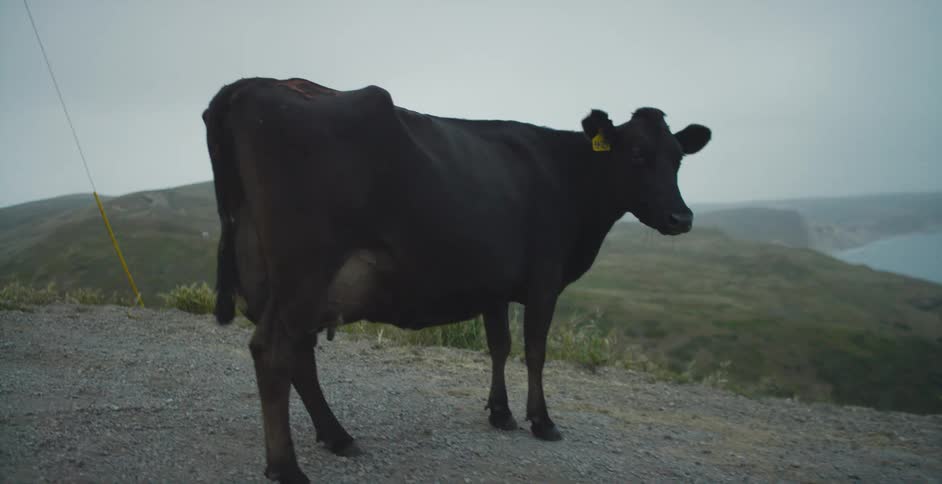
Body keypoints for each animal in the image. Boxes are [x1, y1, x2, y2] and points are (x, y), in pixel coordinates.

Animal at [202, 77, 711, 483]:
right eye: (638, 154)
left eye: (679, 158)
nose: (681, 217)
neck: (569, 175)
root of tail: (250, 85)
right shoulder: (545, 279)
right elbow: (535, 351)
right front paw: (542, 421)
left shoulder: (494, 282)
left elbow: (499, 345)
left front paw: (501, 414)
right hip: (306, 266)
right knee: (274, 352)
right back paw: (286, 466)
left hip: (279, 276)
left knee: (298, 355)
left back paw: (337, 436)